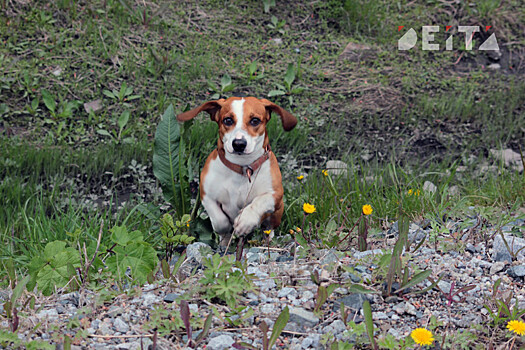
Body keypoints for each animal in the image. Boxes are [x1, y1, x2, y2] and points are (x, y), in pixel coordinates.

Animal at [176, 95, 296, 249]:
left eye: (255, 120)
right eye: (228, 120)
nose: (239, 144)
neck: (242, 168)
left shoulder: (275, 194)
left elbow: (259, 202)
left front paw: (245, 220)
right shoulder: (206, 195)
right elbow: (220, 221)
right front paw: (226, 235)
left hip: (277, 213)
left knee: (268, 229)